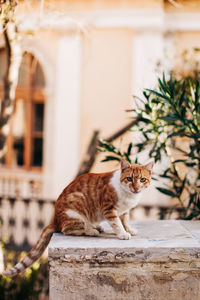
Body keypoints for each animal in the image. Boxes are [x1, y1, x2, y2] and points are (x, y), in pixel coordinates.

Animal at [1, 159, 153, 276]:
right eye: (129, 178)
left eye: (142, 179)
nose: (136, 188)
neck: (128, 195)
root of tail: (55, 220)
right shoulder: (108, 209)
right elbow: (117, 223)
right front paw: (122, 234)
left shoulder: (124, 211)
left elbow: (125, 220)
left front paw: (129, 229)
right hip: (78, 203)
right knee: (68, 229)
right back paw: (91, 231)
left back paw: (97, 226)